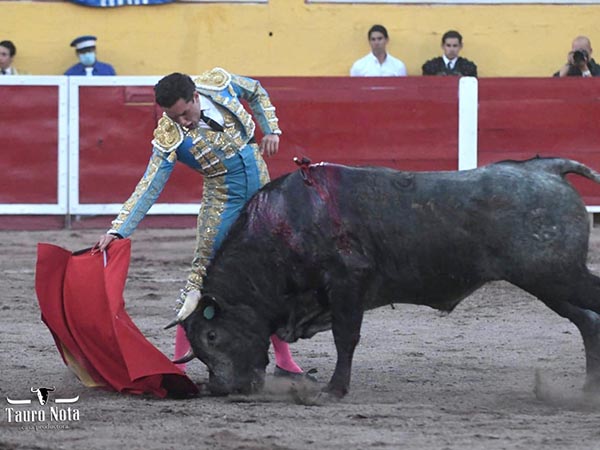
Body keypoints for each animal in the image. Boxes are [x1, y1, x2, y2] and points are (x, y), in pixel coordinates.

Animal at [174, 157, 600, 398]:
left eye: (211, 336)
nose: (222, 389)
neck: (284, 225)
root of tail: (543, 168)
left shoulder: (347, 282)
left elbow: (346, 337)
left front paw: (334, 390)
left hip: (556, 275)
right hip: (546, 282)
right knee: (587, 322)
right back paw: (588, 388)